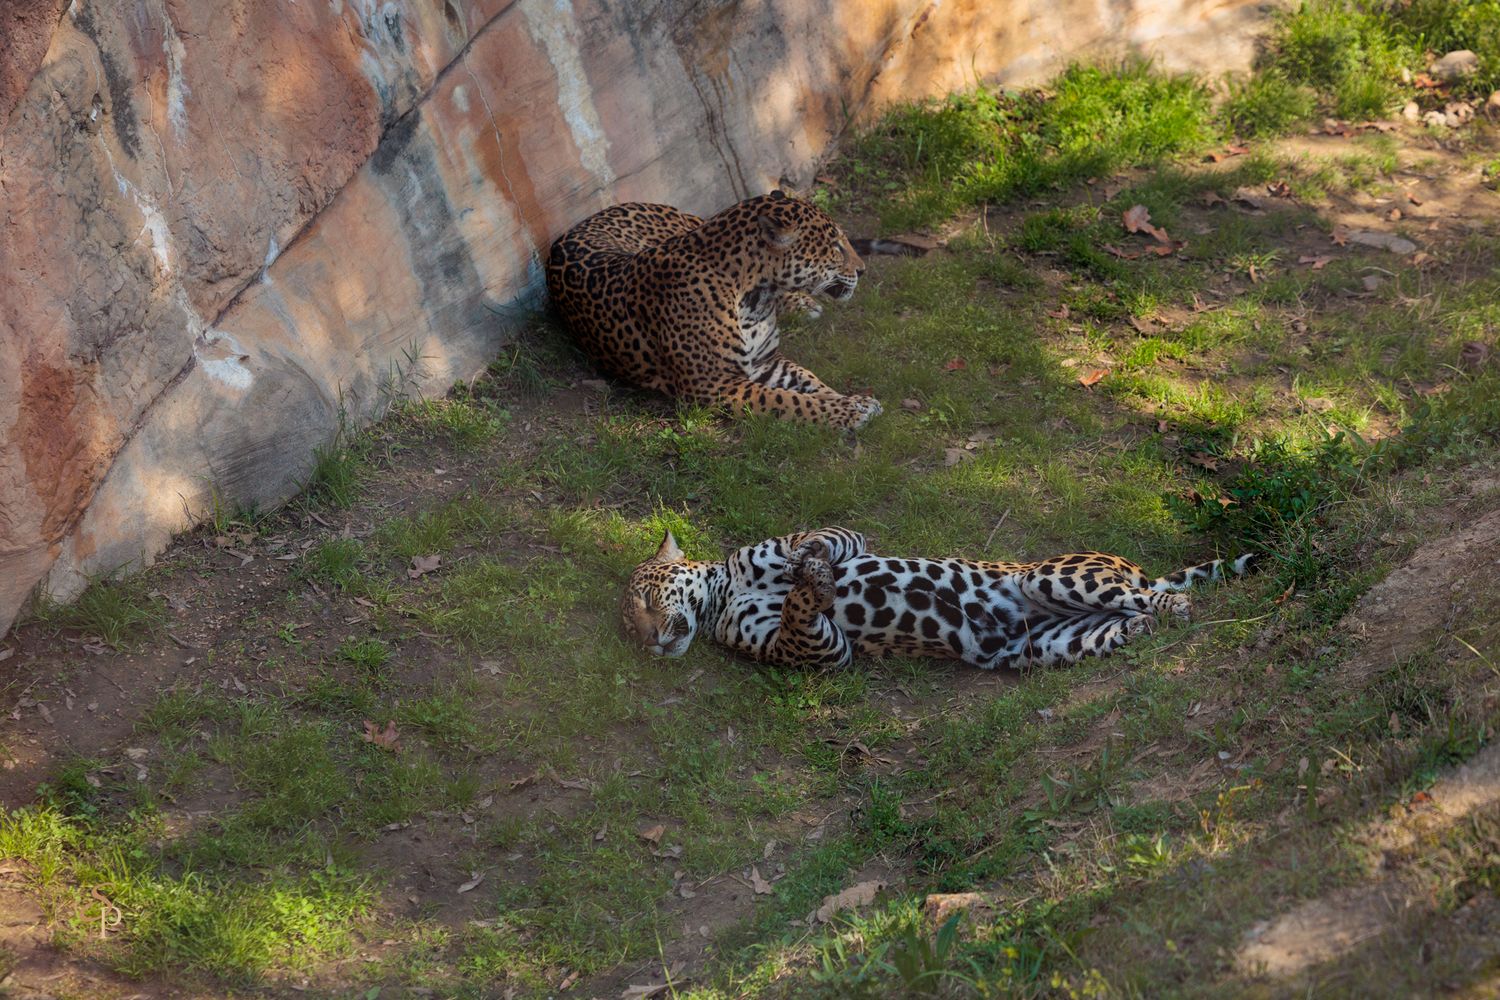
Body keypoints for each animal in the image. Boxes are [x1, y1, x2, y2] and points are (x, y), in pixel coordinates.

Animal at [545, 190, 882, 429]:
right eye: (835, 247)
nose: (863, 270)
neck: (756, 297)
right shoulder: (714, 384)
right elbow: (791, 401)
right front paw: (848, 412)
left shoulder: (767, 361)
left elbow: (811, 380)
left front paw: (855, 401)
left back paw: (803, 304)